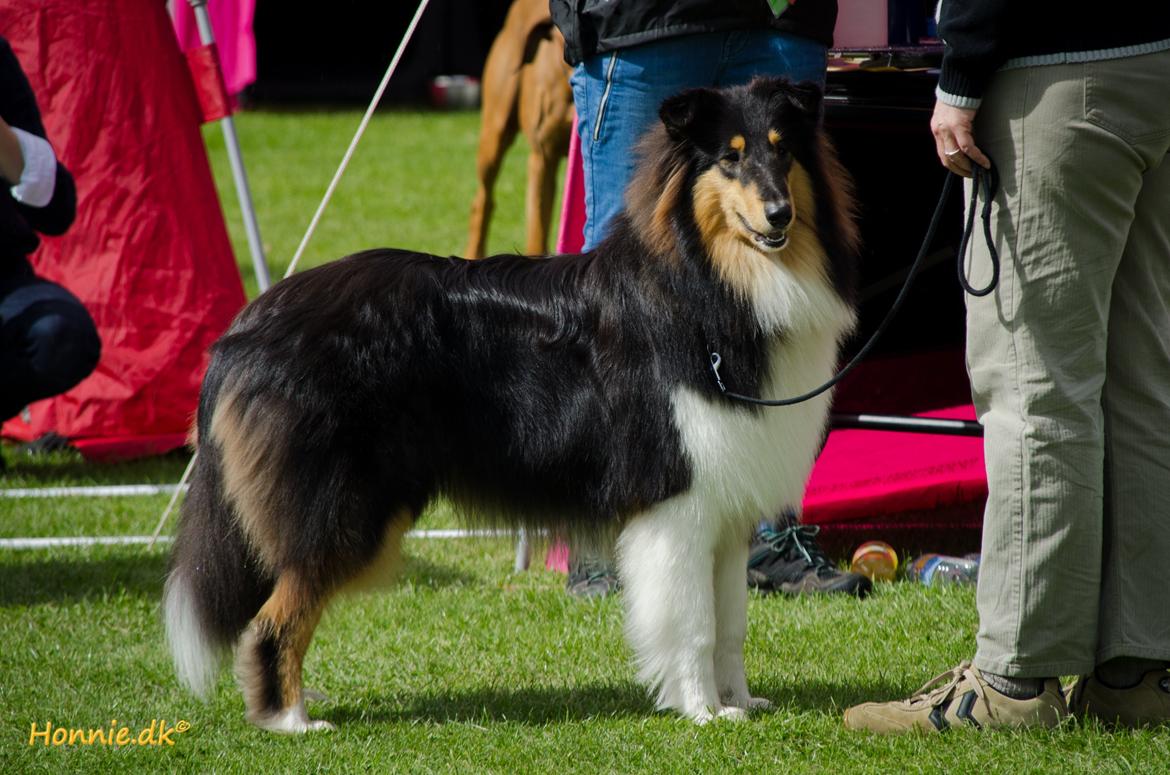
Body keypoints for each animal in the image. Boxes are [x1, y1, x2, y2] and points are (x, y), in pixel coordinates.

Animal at [164, 77, 861, 735]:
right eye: (729, 159)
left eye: (783, 151)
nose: (779, 215)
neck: (713, 283)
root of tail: (249, 322)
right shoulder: (676, 505)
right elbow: (693, 624)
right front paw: (702, 713)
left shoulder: (726, 510)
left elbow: (731, 625)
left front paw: (739, 702)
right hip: (345, 513)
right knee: (273, 620)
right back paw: (291, 721)